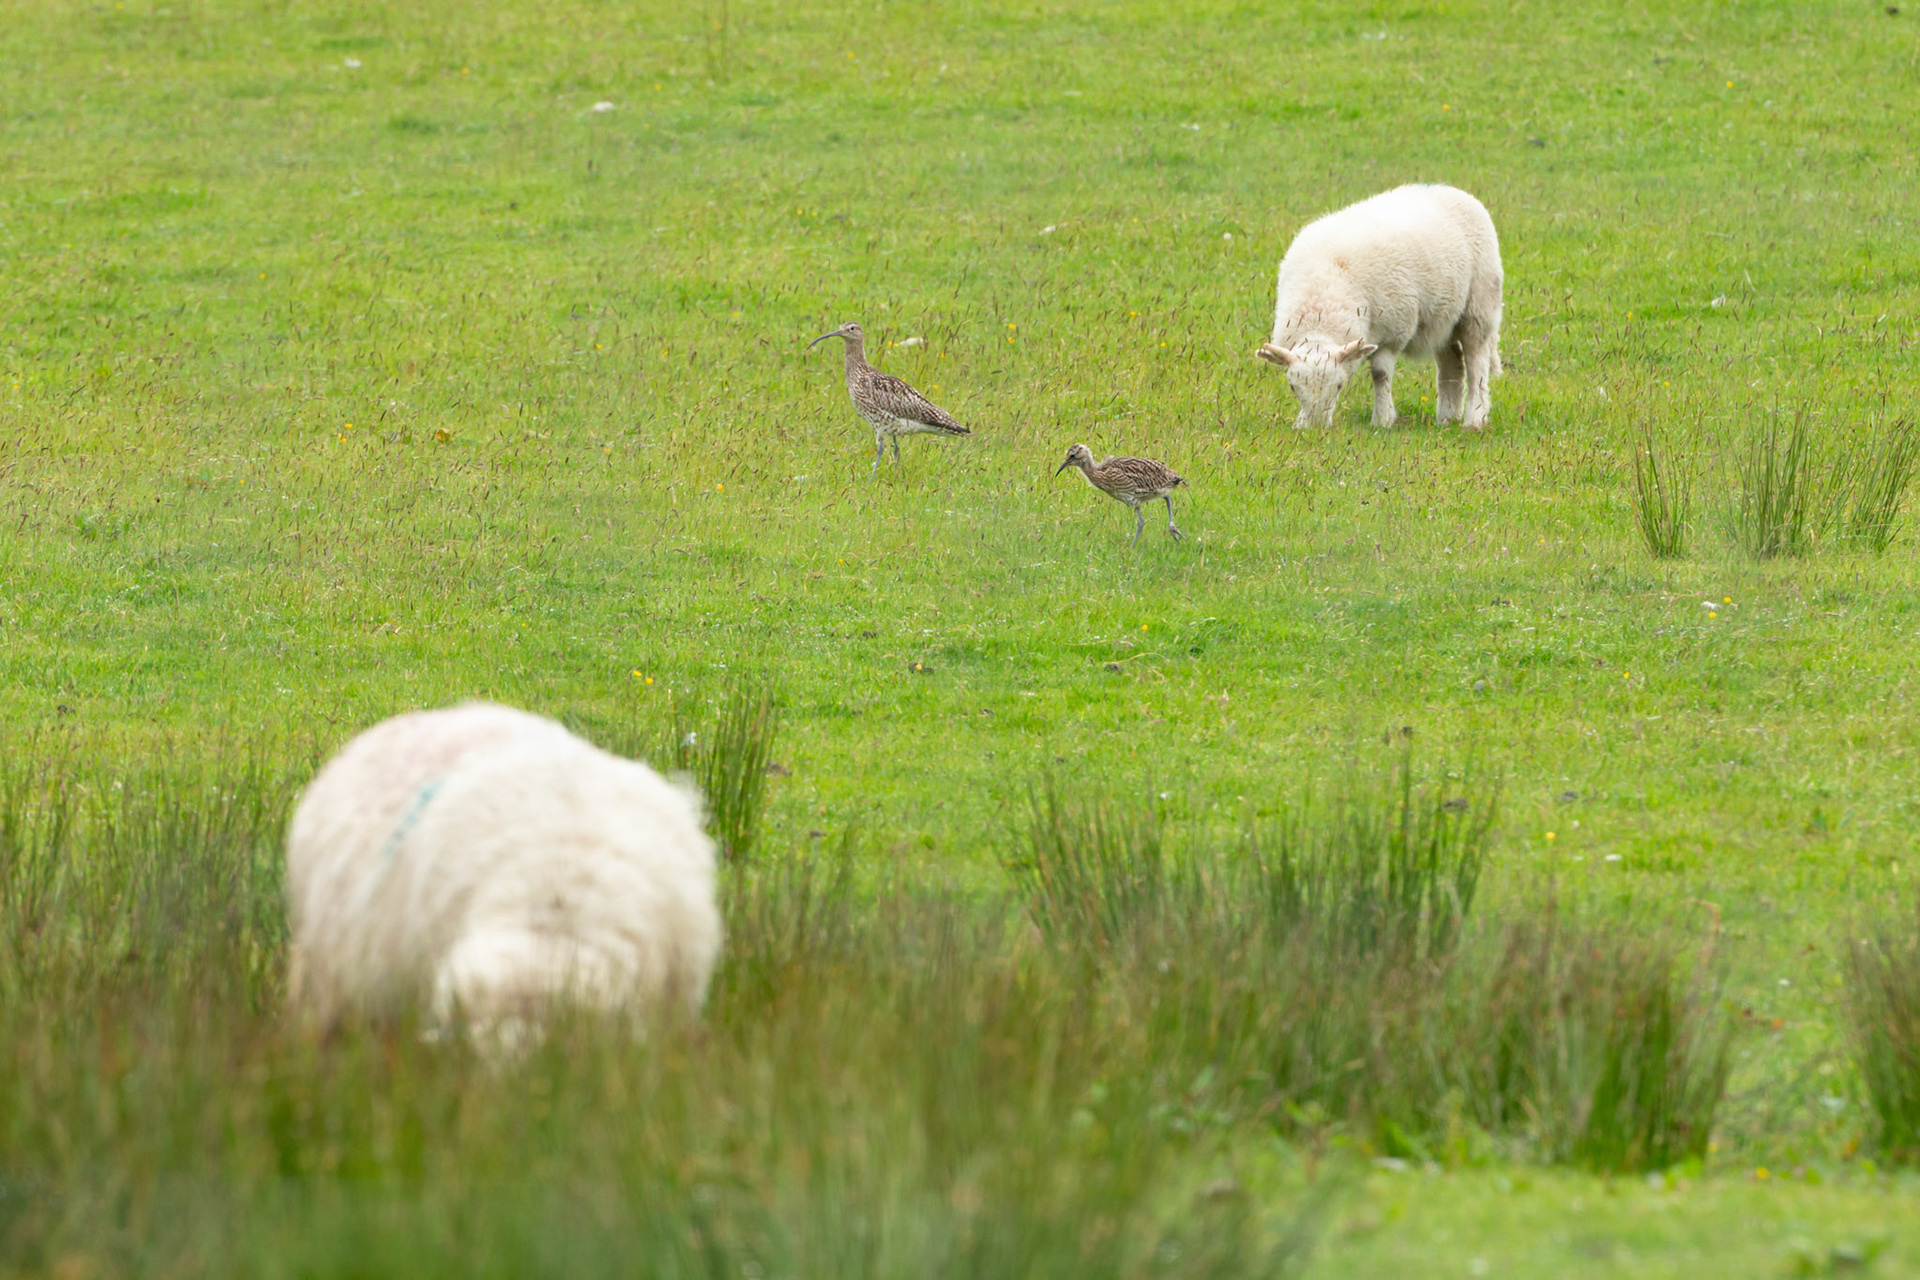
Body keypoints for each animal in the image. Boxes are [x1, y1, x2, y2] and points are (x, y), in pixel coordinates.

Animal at [1255, 184, 1503, 431]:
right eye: (1292, 387)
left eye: (1339, 385)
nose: (1316, 426)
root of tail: (1451, 189)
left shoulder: (1392, 332)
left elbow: (1380, 375)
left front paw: (1382, 420)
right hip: (1443, 318)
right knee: (1452, 362)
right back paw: (1447, 417)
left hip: (1479, 306)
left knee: (1477, 363)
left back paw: (1475, 418)